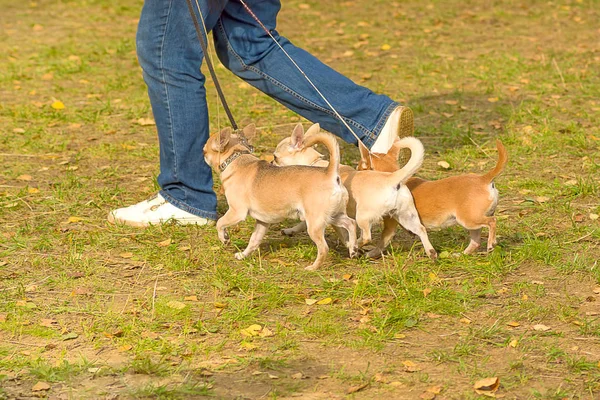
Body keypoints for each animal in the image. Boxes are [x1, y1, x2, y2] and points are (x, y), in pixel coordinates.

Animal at [204, 123, 358, 270]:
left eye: (204, 151)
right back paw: (353, 248)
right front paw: (243, 255)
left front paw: (224, 238)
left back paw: (313, 267)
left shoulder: (236, 212)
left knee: (324, 248)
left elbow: (220, 223)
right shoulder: (262, 221)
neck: (236, 159)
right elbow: (254, 240)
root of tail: (329, 173)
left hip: (315, 223)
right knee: (350, 223)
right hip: (332, 216)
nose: (202, 153)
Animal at [272, 127, 436, 260]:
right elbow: (302, 224)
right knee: (421, 230)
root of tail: (392, 178)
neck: (313, 163)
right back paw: (431, 252)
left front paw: (349, 245)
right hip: (405, 216)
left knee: (366, 236)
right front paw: (290, 230)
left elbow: (342, 233)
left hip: (362, 216)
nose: (271, 164)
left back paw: (355, 245)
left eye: (275, 157)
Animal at [358, 139, 508, 255]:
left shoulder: (389, 225)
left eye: (359, 166)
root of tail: (483, 179)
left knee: (492, 221)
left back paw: (491, 243)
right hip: (470, 223)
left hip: (469, 219)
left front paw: (371, 253)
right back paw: (461, 254)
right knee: (476, 241)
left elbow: (382, 241)